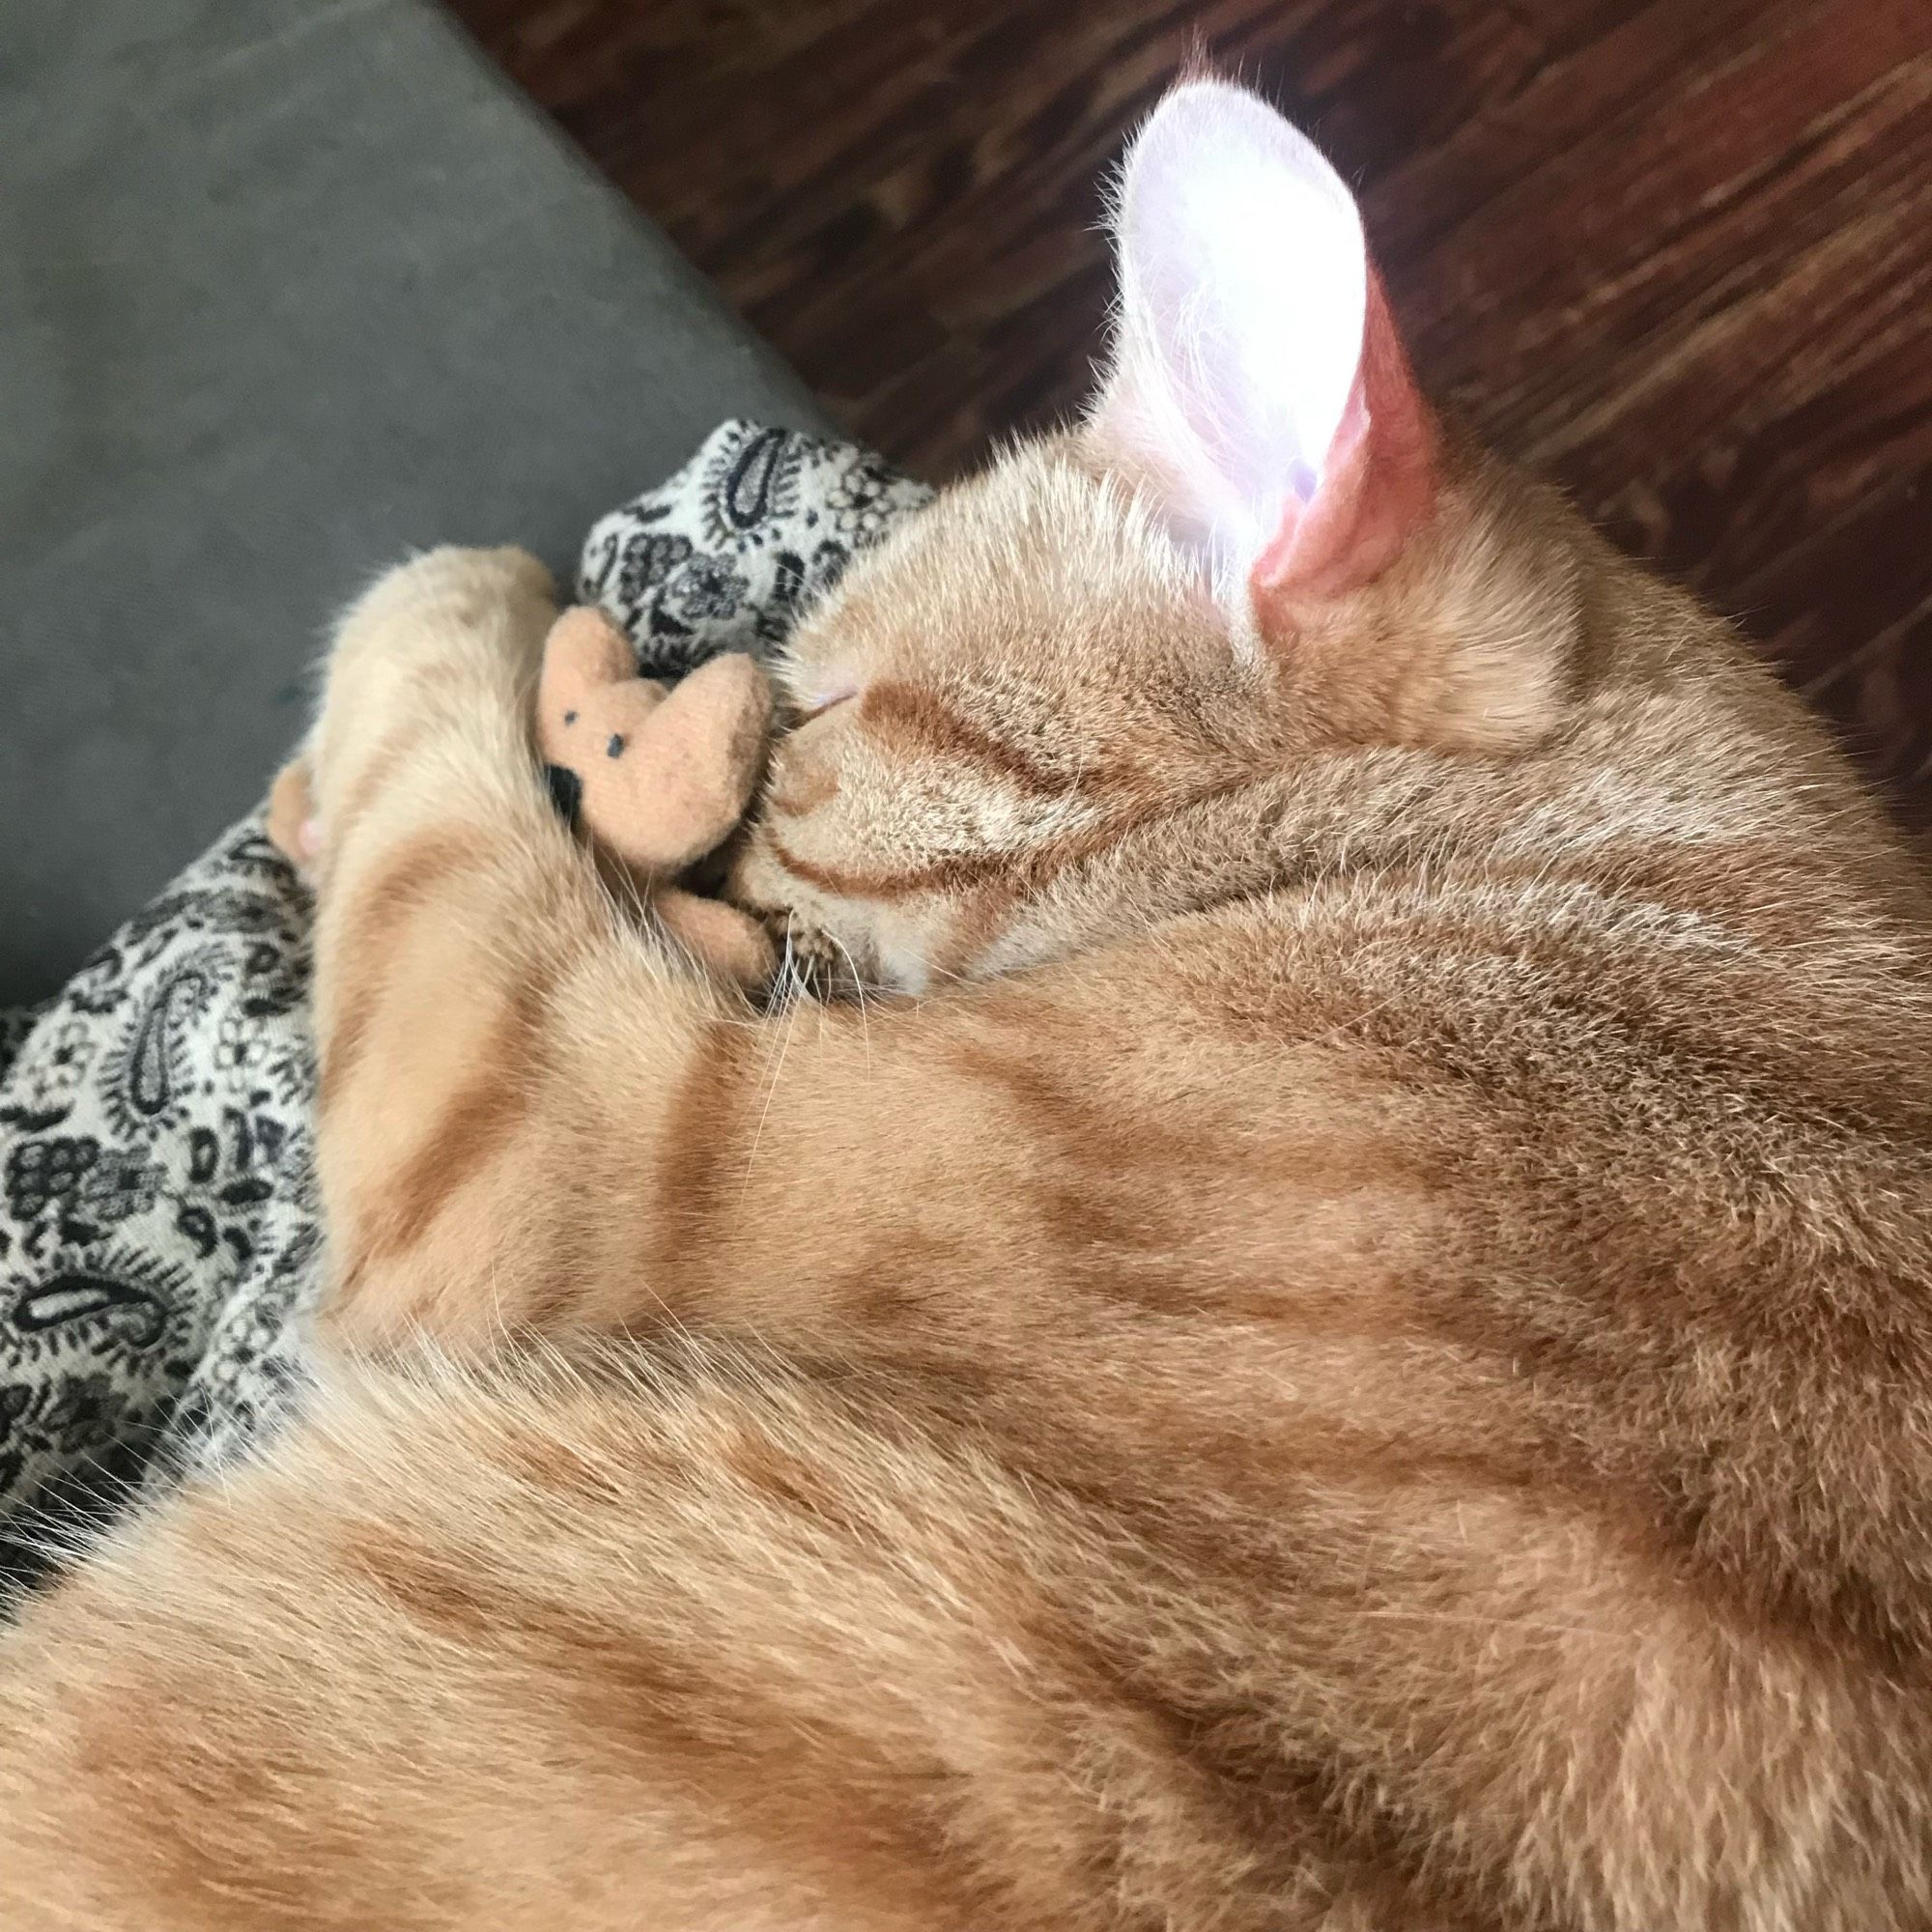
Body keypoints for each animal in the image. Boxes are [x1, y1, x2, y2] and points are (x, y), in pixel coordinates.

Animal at [3, 79, 1932, 1932]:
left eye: (820, 709)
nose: (721, 862)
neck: (1484, 875)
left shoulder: (539, 1133)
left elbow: (416, 705)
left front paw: (453, 610)